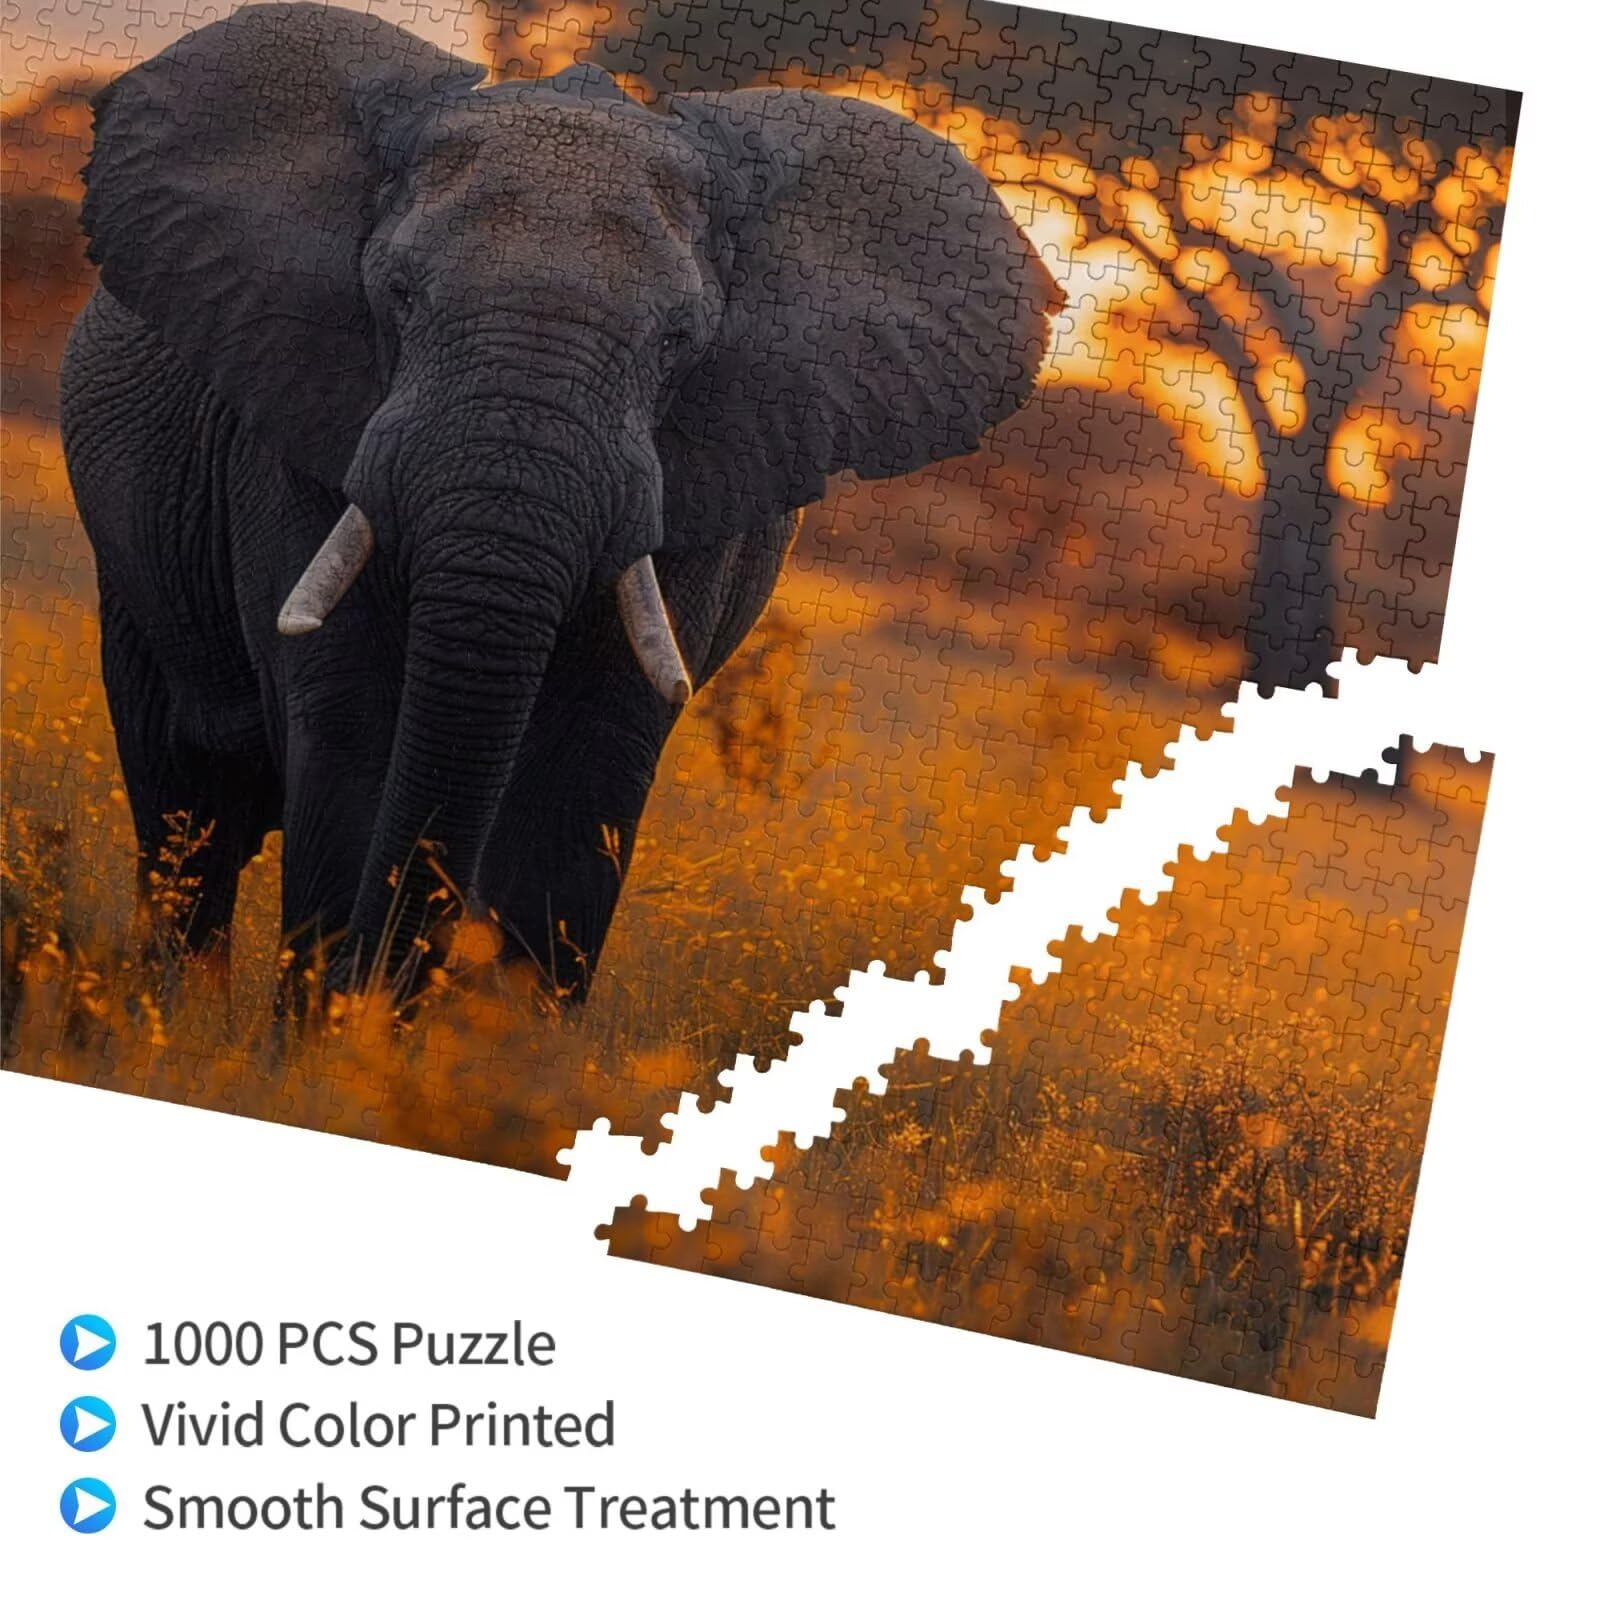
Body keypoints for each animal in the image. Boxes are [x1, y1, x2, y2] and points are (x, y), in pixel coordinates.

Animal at [61, 2, 1058, 1005]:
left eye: (679, 339)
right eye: (399, 295)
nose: (373, 988)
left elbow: (590, 770)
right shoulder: (298, 415)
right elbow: (348, 728)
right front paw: (327, 1034)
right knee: (186, 807)